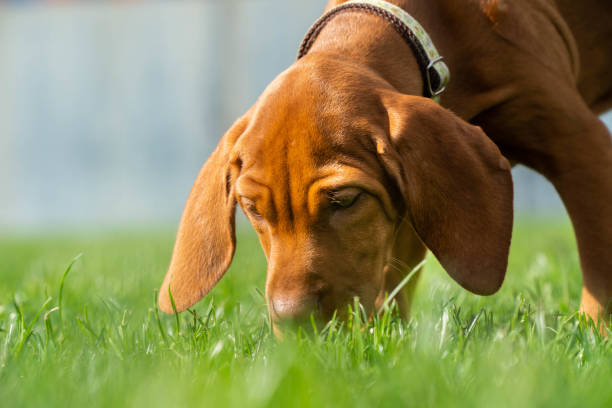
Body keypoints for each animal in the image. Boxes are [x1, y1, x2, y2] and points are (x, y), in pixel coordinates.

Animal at [159, 0, 612, 328]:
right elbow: (395, 279)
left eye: (344, 200)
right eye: (253, 209)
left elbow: (600, 266)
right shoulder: (410, 195)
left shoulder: (582, 146)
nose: (293, 321)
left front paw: (596, 333)